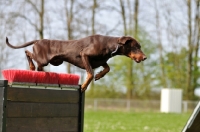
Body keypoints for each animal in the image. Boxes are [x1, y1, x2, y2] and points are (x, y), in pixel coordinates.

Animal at [5, 34, 146, 91]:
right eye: (136, 47)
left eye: (140, 46)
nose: (145, 58)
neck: (110, 45)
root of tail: (38, 40)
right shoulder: (85, 55)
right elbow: (90, 74)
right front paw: (83, 86)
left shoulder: (100, 61)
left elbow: (107, 68)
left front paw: (99, 75)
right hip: (43, 59)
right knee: (27, 52)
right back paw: (31, 66)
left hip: (51, 62)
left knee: (37, 65)